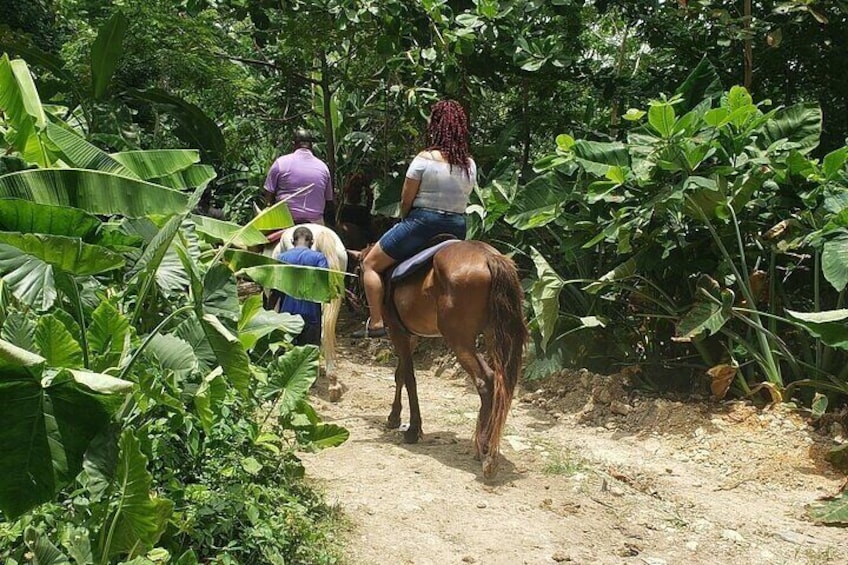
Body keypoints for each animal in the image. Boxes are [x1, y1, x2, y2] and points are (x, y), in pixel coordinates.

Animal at [354, 240, 528, 478]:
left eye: (359, 272)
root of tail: (488, 257)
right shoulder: (411, 336)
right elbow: (400, 375)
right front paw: (394, 417)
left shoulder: (398, 333)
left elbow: (409, 378)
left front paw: (413, 429)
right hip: (494, 336)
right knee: (500, 384)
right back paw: (487, 447)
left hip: (458, 339)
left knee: (486, 382)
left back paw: (484, 449)